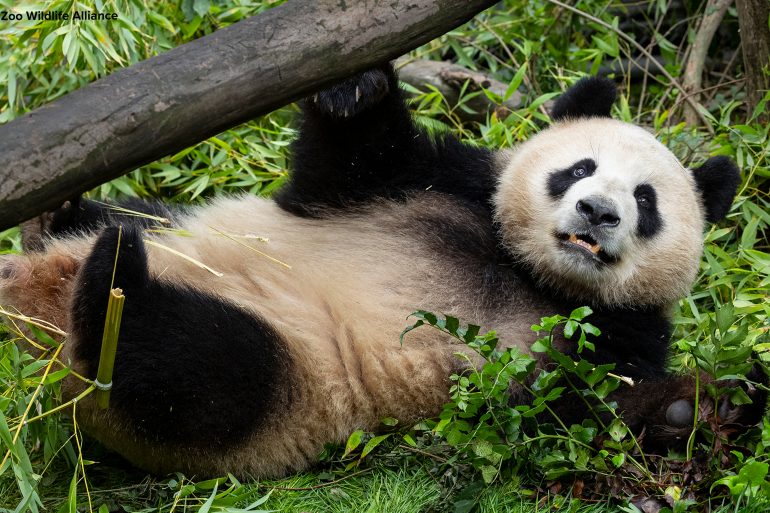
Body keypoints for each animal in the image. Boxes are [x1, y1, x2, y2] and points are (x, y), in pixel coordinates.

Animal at [0, 64, 760, 476]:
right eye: (579, 168)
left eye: (646, 201)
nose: (598, 211)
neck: (529, 271)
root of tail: (32, 317)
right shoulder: (439, 183)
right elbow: (345, 167)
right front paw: (356, 87)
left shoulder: (612, 333)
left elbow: (569, 413)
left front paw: (698, 406)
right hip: (174, 226)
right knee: (131, 226)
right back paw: (61, 222)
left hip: (287, 384)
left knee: (195, 367)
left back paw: (112, 289)